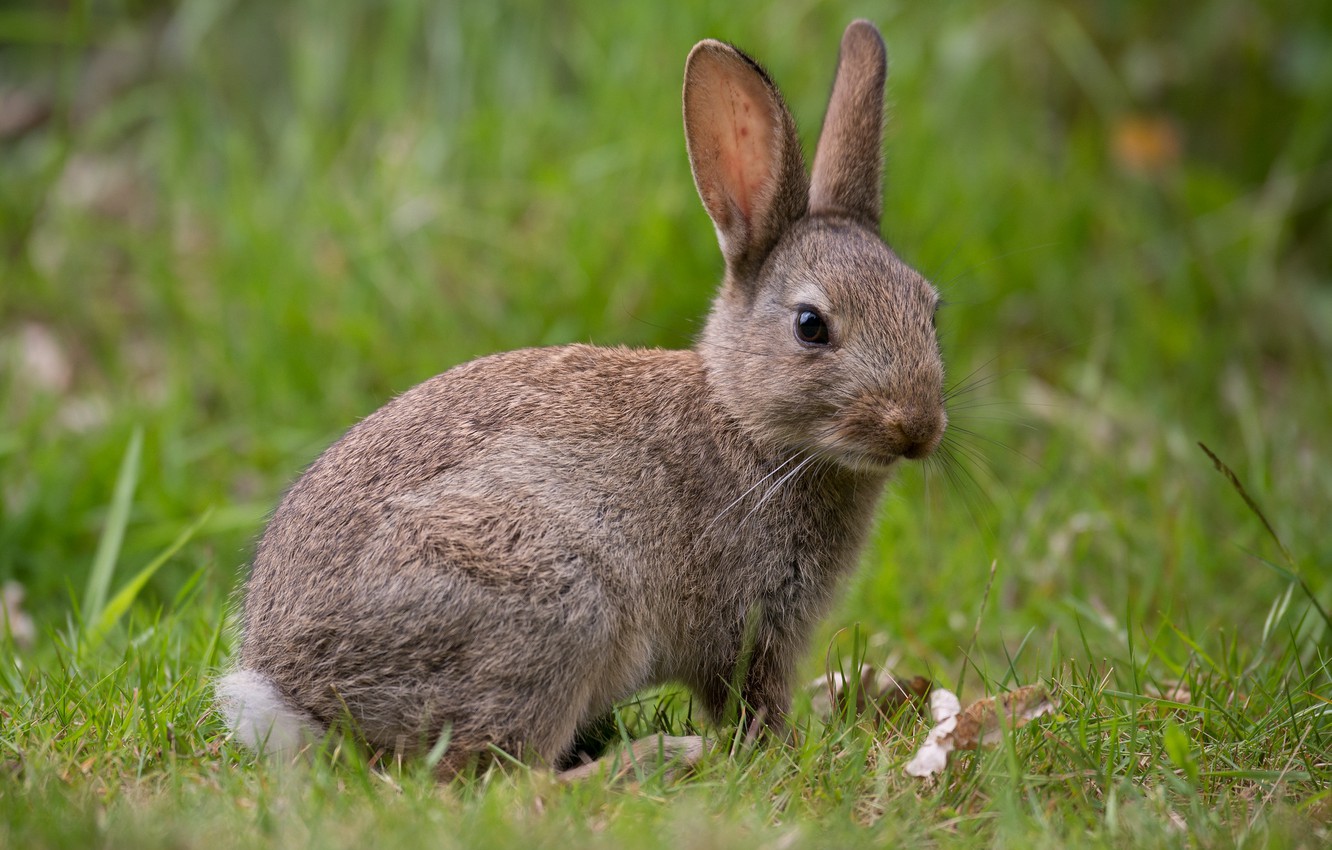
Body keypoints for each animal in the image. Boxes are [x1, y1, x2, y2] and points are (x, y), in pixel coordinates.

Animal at [215, 19, 948, 778]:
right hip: (552, 605)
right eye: (811, 326)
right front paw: (779, 752)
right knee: (507, 774)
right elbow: (752, 705)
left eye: (930, 309)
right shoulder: (745, 629)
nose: (917, 429)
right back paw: (662, 757)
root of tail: (299, 704)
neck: (743, 419)